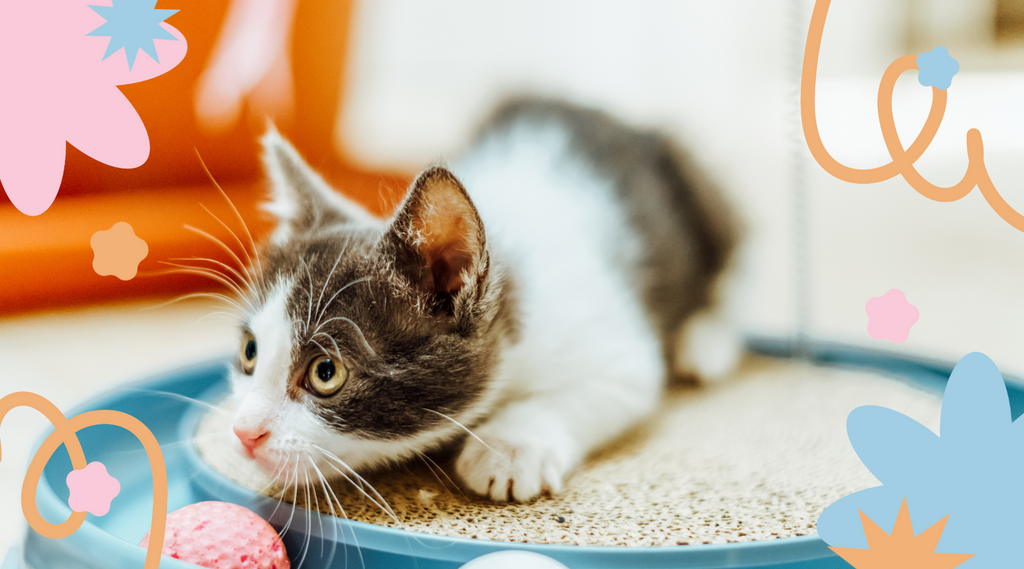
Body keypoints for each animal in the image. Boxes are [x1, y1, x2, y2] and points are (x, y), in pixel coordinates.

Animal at [230, 98, 745, 501]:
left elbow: (605, 386)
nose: (244, 432)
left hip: (702, 188)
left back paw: (705, 342)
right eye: (250, 352)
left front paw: (511, 448)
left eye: (325, 372)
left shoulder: (617, 350)